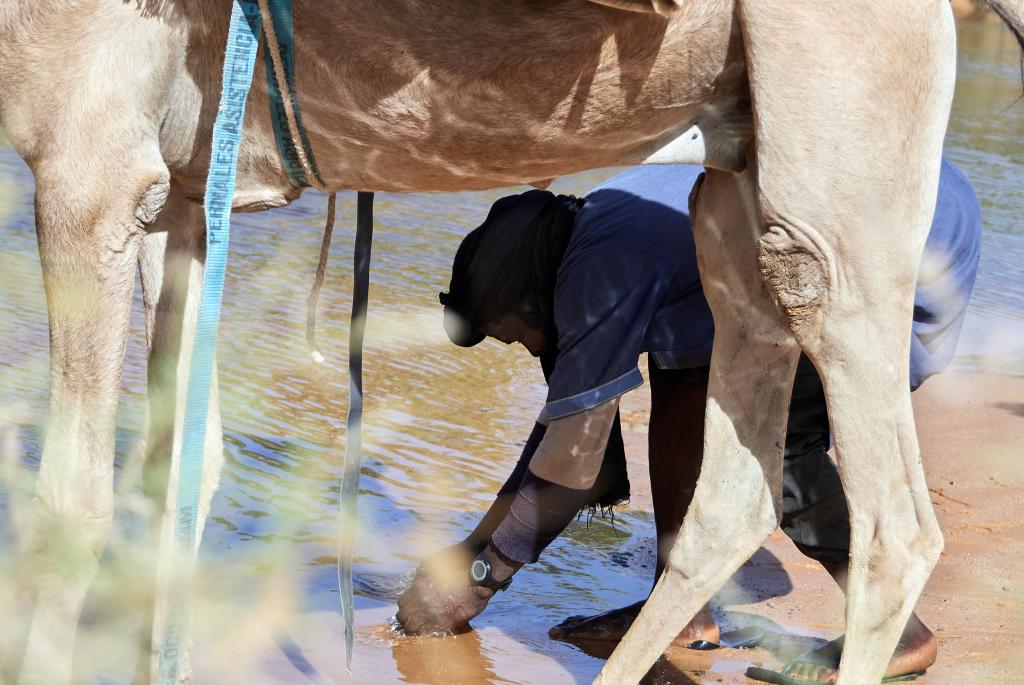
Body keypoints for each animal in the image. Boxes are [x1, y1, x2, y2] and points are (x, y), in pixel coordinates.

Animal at [0, 0, 1019, 679]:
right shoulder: (176, 188)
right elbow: (179, 461)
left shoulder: (87, 162)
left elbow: (70, 502)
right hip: (741, 174)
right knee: (739, 477)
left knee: (892, 521)